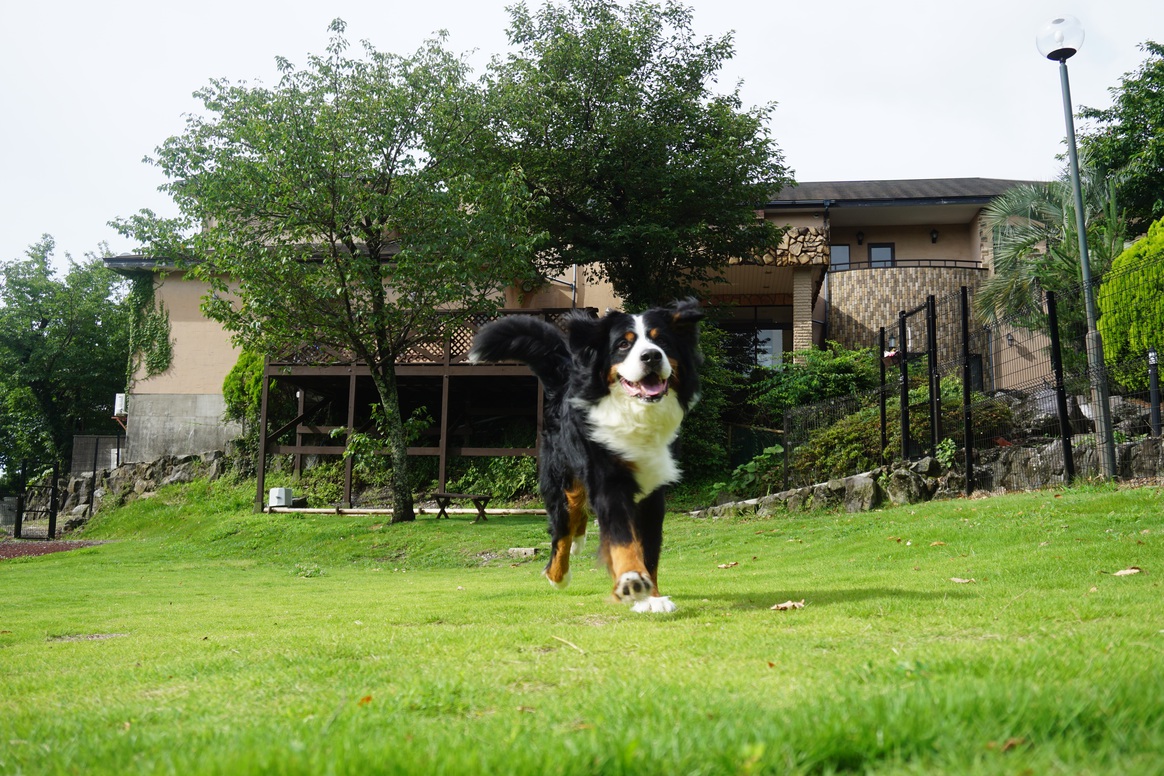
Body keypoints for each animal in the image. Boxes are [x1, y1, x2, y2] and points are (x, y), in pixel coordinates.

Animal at [467, 300, 703, 614]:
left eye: (662, 341)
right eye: (623, 344)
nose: (651, 356)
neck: (637, 416)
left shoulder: (653, 494)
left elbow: (648, 550)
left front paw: (650, 596)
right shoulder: (609, 481)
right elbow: (622, 538)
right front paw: (631, 579)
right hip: (561, 478)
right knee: (563, 527)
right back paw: (558, 573)